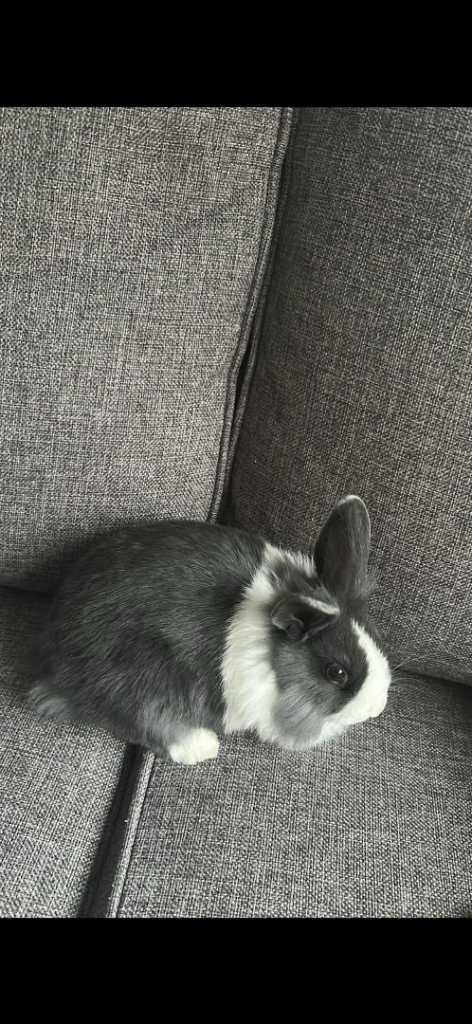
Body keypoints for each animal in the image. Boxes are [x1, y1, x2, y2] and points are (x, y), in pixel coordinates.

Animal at [27, 495, 391, 764]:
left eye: (376, 637)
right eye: (336, 672)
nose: (376, 710)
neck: (270, 654)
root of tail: (52, 660)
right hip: (139, 672)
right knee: (139, 717)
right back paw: (201, 745)